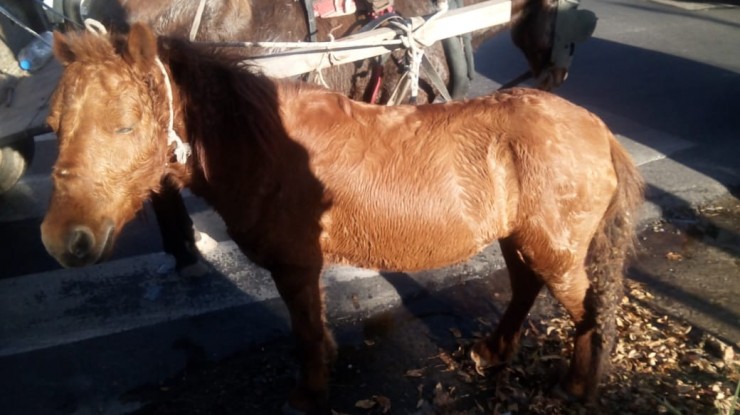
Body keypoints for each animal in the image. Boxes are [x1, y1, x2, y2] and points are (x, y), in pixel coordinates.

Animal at [42, 25, 640, 412]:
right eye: (53, 124)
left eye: (124, 126)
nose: (63, 239)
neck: (260, 141)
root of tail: (597, 130)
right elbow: (315, 326)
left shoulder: (295, 266)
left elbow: (305, 330)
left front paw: (308, 393)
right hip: (522, 241)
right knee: (524, 291)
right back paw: (492, 353)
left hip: (555, 251)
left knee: (591, 312)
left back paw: (576, 388)